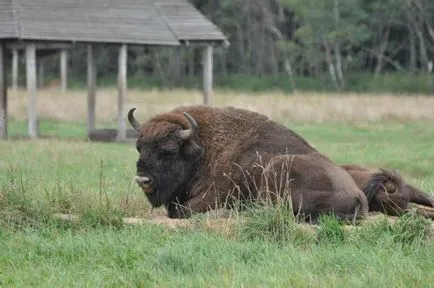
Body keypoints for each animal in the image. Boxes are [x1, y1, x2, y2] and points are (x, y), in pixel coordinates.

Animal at [127, 106, 432, 220]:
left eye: (168, 150)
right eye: (140, 147)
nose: (143, 179)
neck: (203, 148)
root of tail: (358, 194)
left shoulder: (213, 195)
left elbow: (179, 210)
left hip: (276, 170)